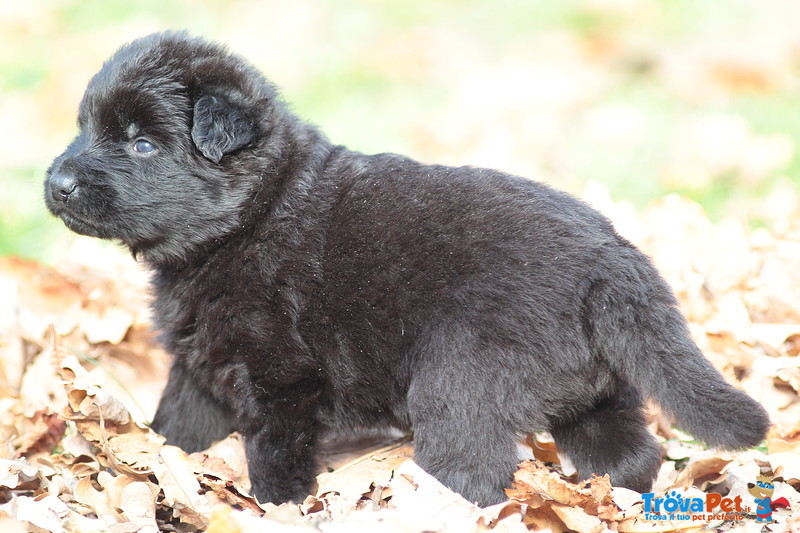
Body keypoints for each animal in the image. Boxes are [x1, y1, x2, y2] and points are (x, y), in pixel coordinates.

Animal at [45, 31, 768, 504]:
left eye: (142, 144)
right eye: (84, 127)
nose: (55, 183)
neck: (251, 216)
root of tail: (612, 261)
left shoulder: (279, 375)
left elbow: (275, 452)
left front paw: (277, 506)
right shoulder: (203, 359)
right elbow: (177, 425)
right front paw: (159, 460)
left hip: (458, 386)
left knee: (474, 471)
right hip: (593, 388)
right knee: (630, 452)